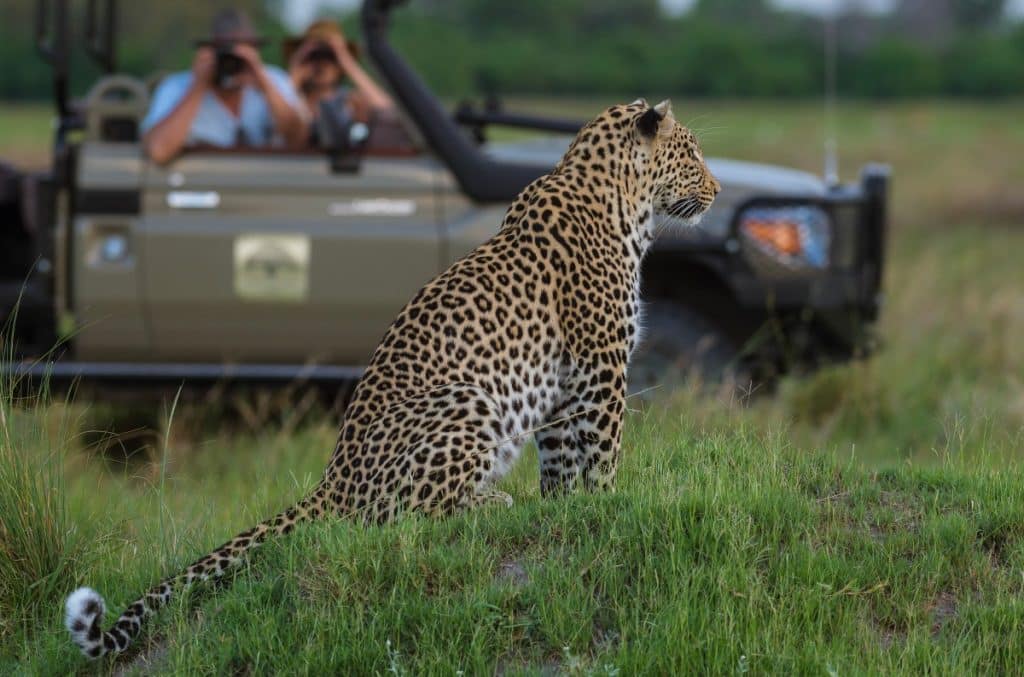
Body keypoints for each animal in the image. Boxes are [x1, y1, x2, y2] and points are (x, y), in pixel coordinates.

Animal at [64, 98, 719, 659]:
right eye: (691, 153)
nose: (716, 191)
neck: (624, 200)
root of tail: (333, 481)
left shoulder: (562, 385)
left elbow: (563, 460)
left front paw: (565, 510)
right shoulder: (601, 364)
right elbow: (605, 449)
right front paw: (609, 504)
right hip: (467, 399)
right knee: (397, 518)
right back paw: (493, 501)